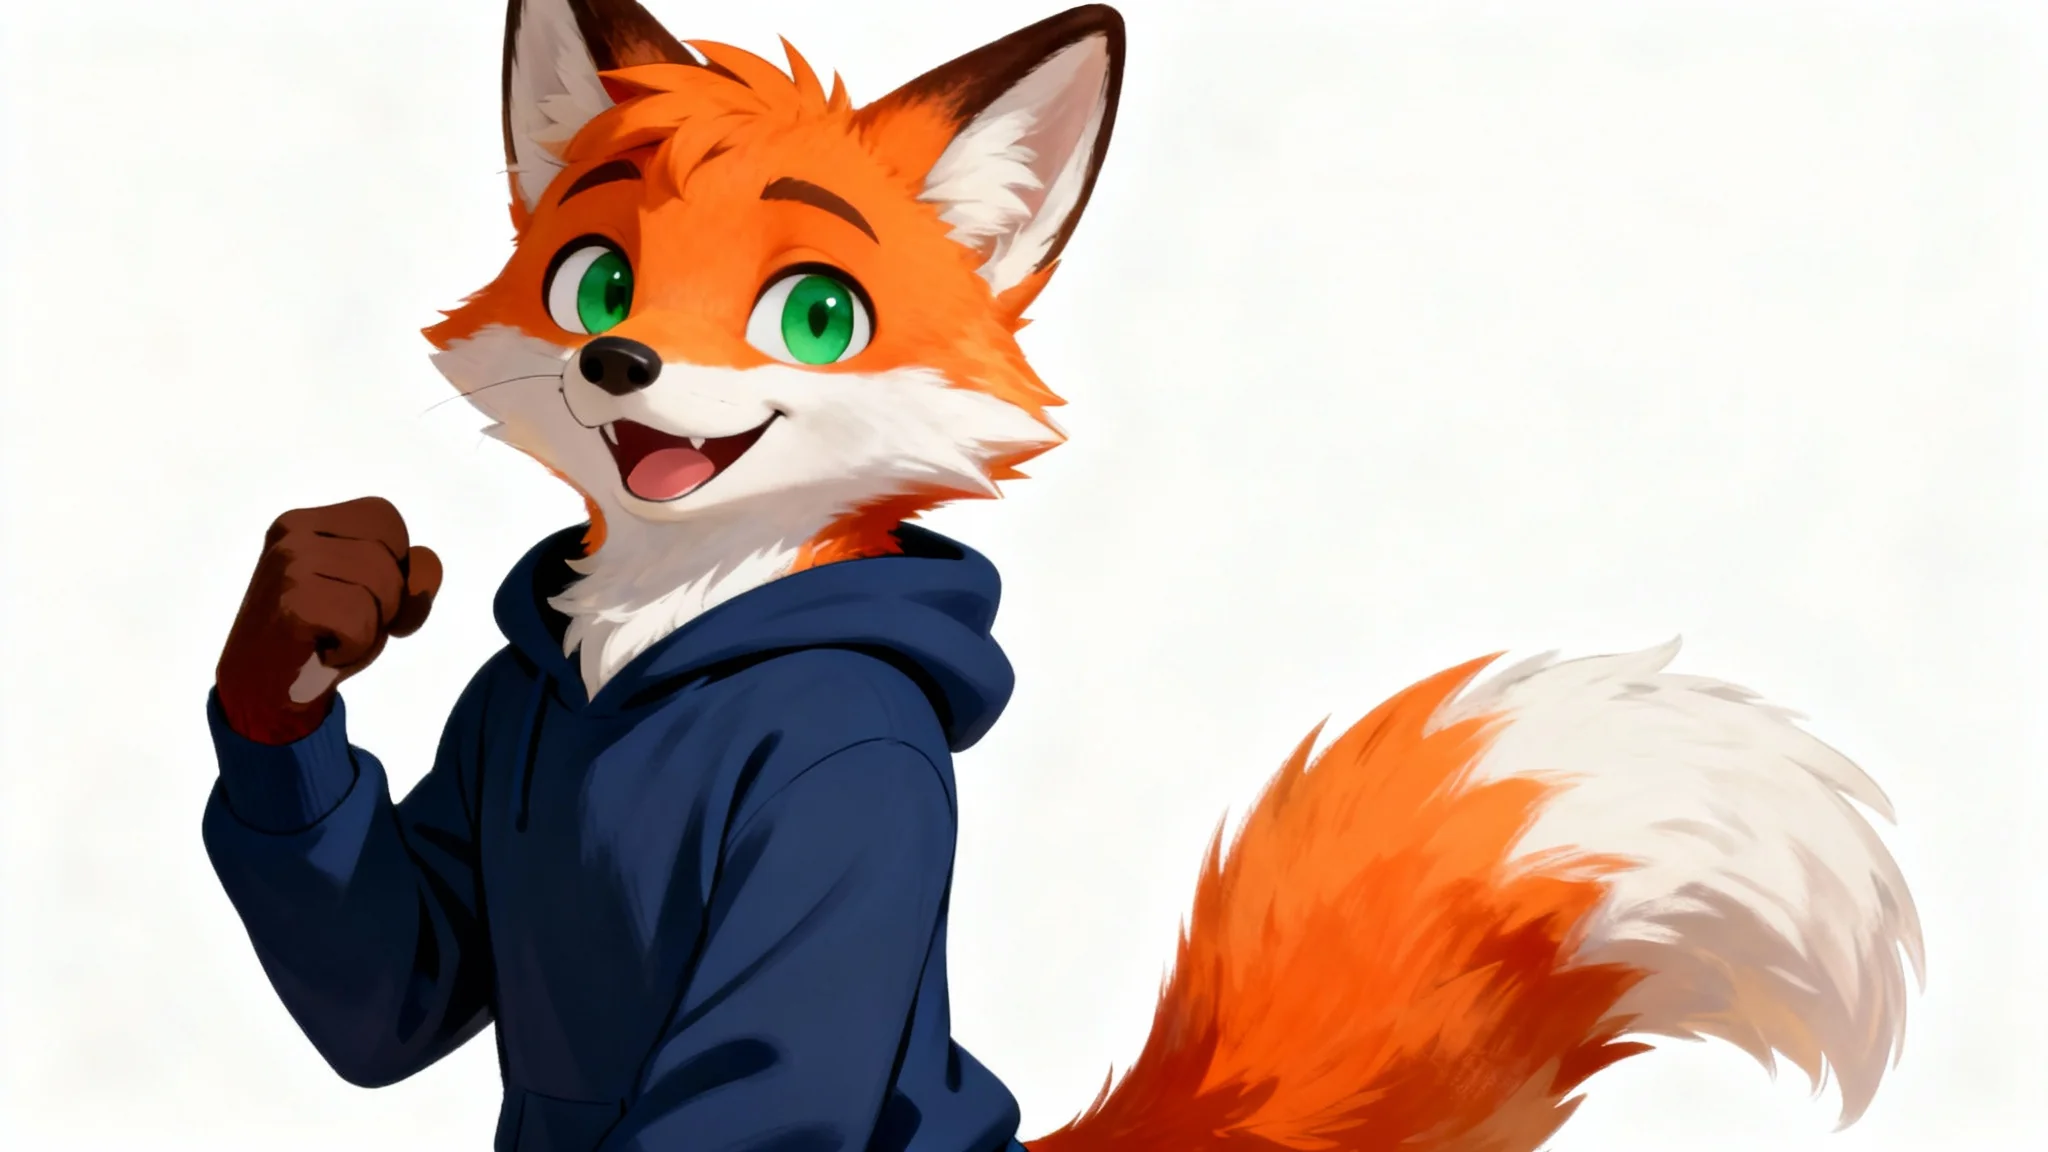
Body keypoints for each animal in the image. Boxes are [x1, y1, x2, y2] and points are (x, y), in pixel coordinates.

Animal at [200, 3, 1924, 1152]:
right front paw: (298, 629)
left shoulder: (846, 794)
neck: (652, 647)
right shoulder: (500, 729)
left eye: (813, 316)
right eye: (596, 281)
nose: (620, 365)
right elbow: (399, 988)